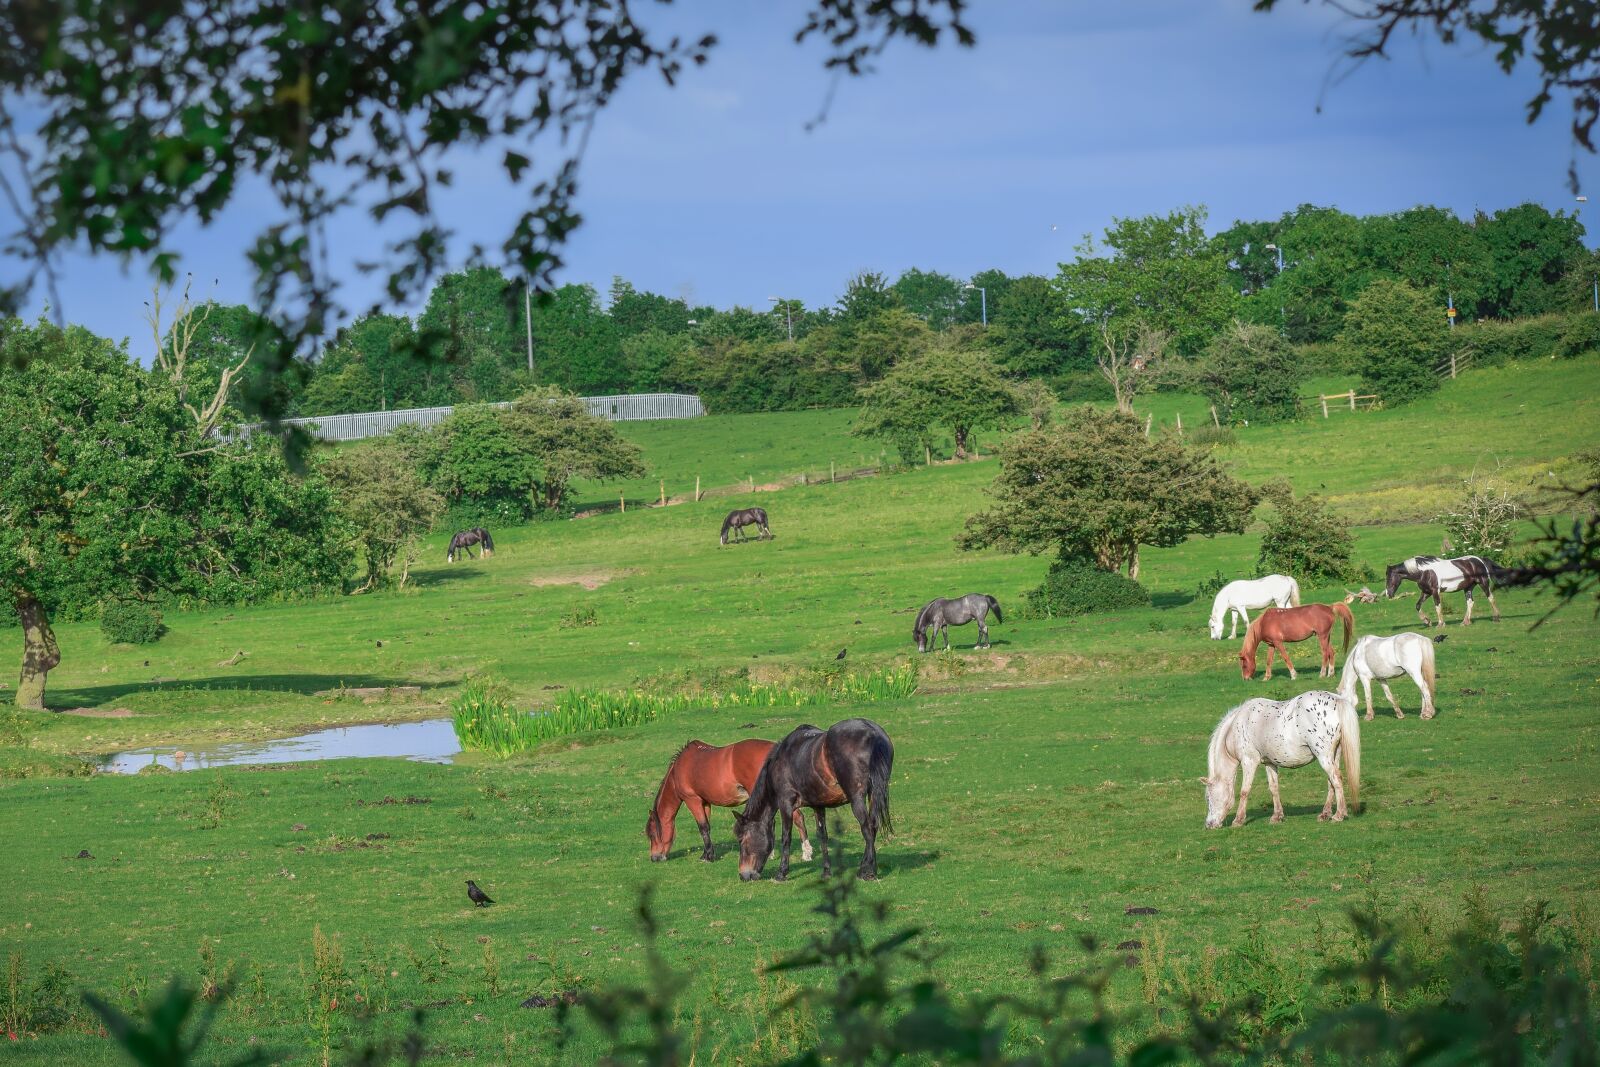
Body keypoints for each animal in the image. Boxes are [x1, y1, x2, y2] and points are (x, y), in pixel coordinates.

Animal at [645, 739, 812, 863]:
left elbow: (702, 827)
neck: (679, 770)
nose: (654, 858)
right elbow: (707, 827)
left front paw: (708, 856)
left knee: (794, 818)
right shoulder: (705, 802)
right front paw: (707, 853)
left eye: (652, 835)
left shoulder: (693, 800)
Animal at [732, 718, 893, 882]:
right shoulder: (818, 805)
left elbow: (786, 837)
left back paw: (867, 871)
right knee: (874, 826)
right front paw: (827, 871)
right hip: (873, 793)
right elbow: (822, 836)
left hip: (857, 799)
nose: (743, 875)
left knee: (867, 829)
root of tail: (872, 732)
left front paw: (782, 873)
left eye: (742, 840)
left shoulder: (785, 804)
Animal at [1203, 690, 1361, 828]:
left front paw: (1238, 820)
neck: (1238, 724)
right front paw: (1277, 816)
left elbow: (1244, 791)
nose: (1209, 824)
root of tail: (1337, 699)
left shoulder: (1249, 762)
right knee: (1331, 782)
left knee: (1336, 778)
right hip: (1334, 755)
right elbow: (1274, 788)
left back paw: (1339, 815)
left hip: (1324, 756)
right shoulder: (1269, 763)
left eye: (1208, 798)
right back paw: (1325, 814)